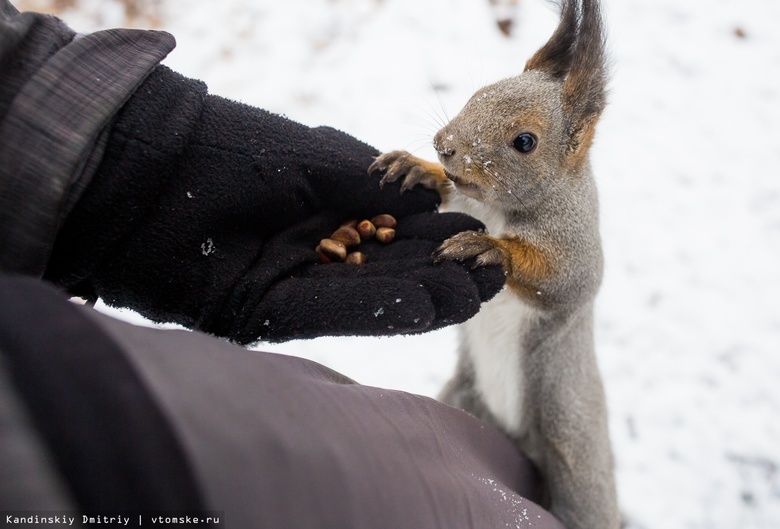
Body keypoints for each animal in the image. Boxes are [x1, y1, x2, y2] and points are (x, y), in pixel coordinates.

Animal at [368, 1, 620, 528]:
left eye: (525, 141)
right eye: (478, 93)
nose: (443, 145)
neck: (499, 211)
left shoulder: (576, 244)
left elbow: (562, 280)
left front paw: (491, 249)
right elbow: (449, 193)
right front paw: (418, 168)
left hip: (573, 448)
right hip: (465, 398)